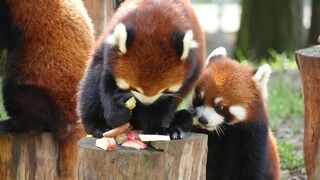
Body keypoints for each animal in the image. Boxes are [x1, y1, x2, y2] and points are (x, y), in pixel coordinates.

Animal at [78, 0, 205, 139]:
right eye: (134, 88)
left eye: (164, 90)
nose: (146, 104)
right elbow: (106, 85)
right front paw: (117, 113)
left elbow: (165, 103)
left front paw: (158, 129)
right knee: (91, 88)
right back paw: (97, 125)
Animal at [191, 47, 278, 179]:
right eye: (200, 100)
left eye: (220, 107)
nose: (203, 120)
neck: (227, 131)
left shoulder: (253, 138)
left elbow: (251, 170)